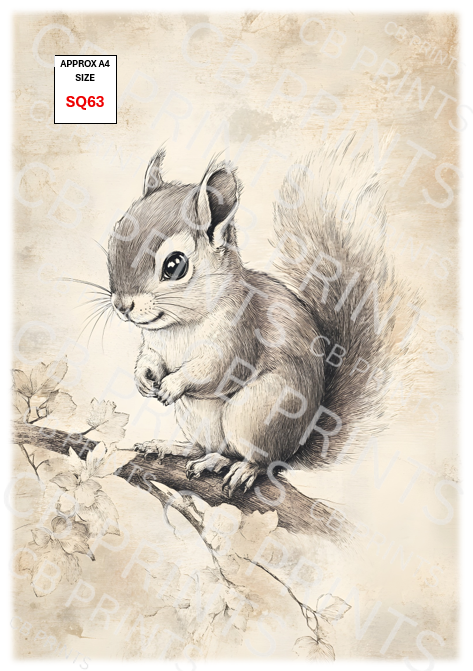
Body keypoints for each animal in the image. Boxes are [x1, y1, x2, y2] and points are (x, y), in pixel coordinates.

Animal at [107, 138, 404, 497]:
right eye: (114, 237)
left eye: (174, 265)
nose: (122, 305)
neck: (178, 326)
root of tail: (295, 445)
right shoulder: (154, 344)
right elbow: (150, 358)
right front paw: (143, 377)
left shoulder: (238, 338)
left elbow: (214, 371)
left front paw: (174, 383)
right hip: (198, 420)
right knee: (209, 446)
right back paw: (176, 448)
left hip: (256, 414)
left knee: (256, 458)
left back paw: (237, 468)